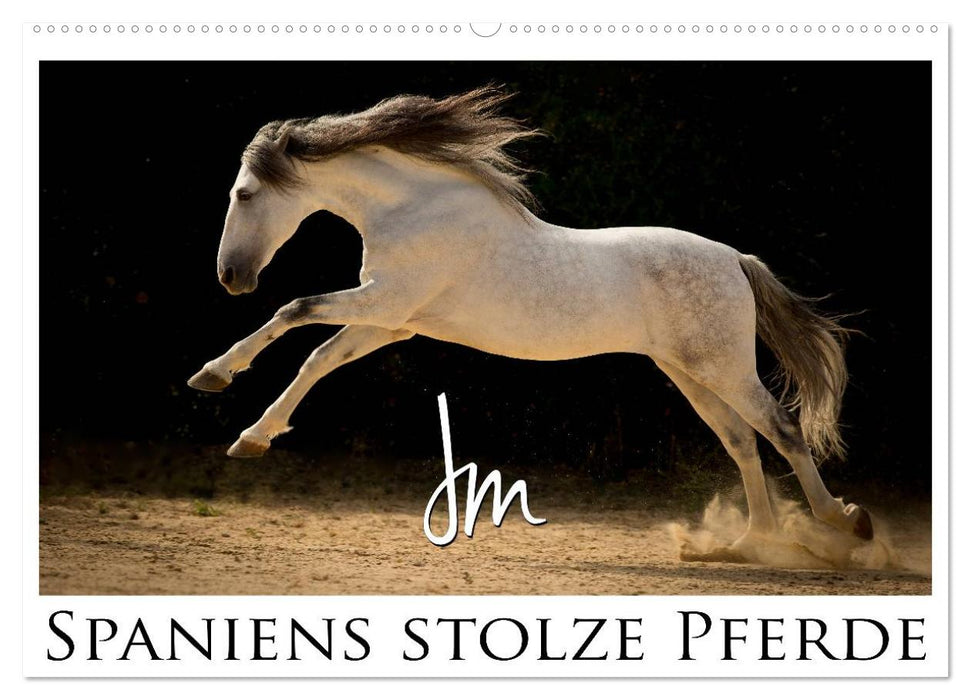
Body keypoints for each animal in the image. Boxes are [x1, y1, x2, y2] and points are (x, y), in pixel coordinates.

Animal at [187, 86, 873, 559]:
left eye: (244, 194)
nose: (230, 277)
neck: (416, 208)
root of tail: (735, 259)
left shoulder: (383, 303)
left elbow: (293, 310)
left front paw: (213, 377)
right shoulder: (391, 319)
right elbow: (317, 358)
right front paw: (251, 435)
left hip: (722, 367)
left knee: (781, 428)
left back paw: (845, 523)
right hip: (690, 373)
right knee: (740, 441)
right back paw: (747, 545)